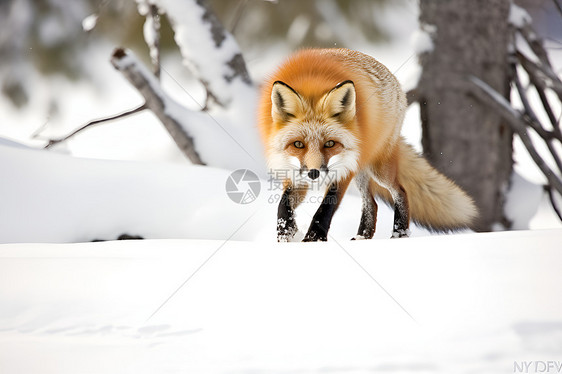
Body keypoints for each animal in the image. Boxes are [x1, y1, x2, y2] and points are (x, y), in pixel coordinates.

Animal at [256, 48, 474, 241]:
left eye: (330, 143)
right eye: (298, 144)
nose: (314, 173)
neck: (311, 84)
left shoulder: (343, 170)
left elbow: (326, 207)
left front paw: (313, 239)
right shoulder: (294, 172)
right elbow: (283, 205)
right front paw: (286, 231)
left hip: (376, 169)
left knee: (401, 192)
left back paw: (399, 234)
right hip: (361, 170)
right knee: (372, 204)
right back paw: (363, 236)